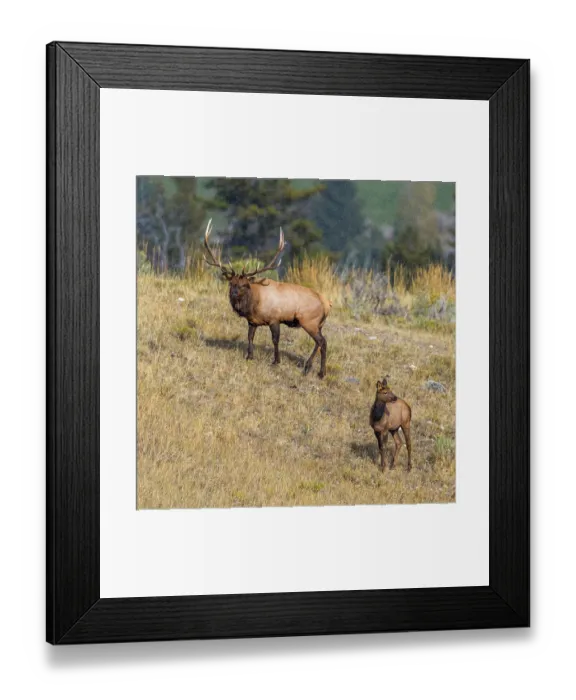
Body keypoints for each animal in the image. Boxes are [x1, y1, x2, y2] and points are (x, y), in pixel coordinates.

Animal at [203, 220, 332, 378]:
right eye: (231, 283)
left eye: (244, 285)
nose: (233, 293)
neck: (254, 304)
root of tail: (327, 304)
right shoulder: (252, 321)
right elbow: (250, 337)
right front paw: (249, 356)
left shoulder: (275, 318)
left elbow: (275, 340)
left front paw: (276, 361)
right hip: (318, 324)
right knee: (320, 343)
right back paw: (314, 369)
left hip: (309, 321)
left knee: (322, 341)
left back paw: (316, 371)